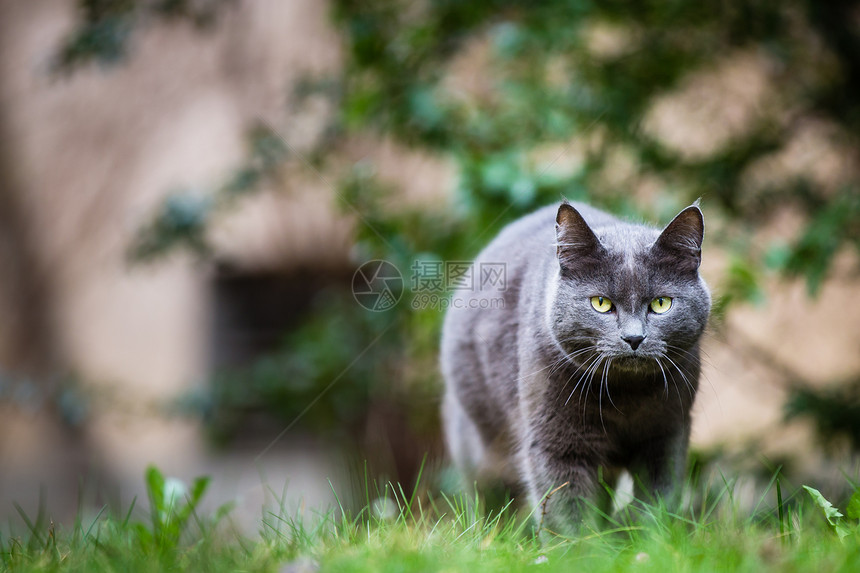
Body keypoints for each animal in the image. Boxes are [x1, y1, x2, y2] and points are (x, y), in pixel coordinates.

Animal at [440, 201, 708, 536]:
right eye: (601, 303)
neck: (625, 398)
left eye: (661, 303)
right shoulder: (555, 442)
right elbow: (567, 508)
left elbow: (659, 498)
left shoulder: (667, 433)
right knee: (489, 499)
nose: (634, 338)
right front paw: (583, 546)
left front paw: (644, 538)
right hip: (479, 443)